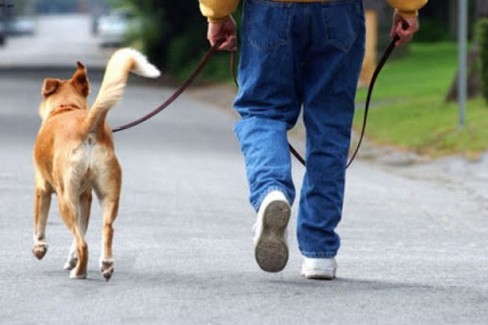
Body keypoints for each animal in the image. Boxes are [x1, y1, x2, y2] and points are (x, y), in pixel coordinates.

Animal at [33, 47, 159, 278]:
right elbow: (81, 231)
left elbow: (40, 223)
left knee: (83, 243)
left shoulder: (42, 189)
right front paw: (71, 258)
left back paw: (79, 273)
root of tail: (86, 125)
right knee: (105, 228)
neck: (66, 107)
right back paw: (106, 263)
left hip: (66, 199)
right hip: (108, 194)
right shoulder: (86, 196)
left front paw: (39, 248)